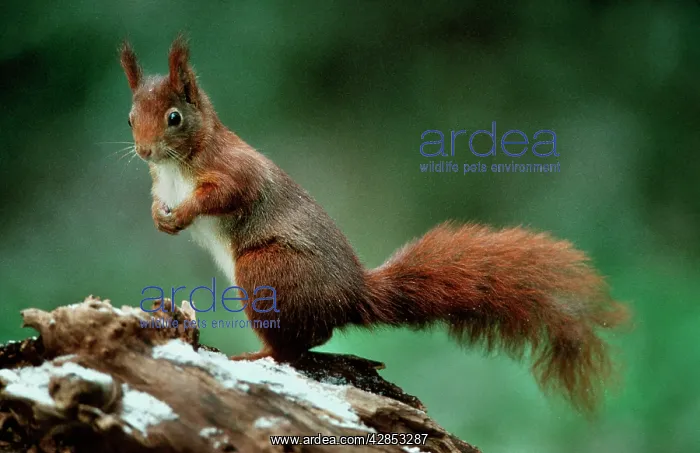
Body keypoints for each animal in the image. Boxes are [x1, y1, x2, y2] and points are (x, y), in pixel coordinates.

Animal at [119, 35, 629, 413]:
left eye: (174, 117)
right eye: (129, 118)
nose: (143, 152)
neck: (174, 167)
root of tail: (352, 295)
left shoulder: (234, 171)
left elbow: (227, 195)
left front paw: (184, 214)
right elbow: (156, 202)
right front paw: (160, 219)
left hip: (268, 270)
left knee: (293, 346)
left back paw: (258, 354)